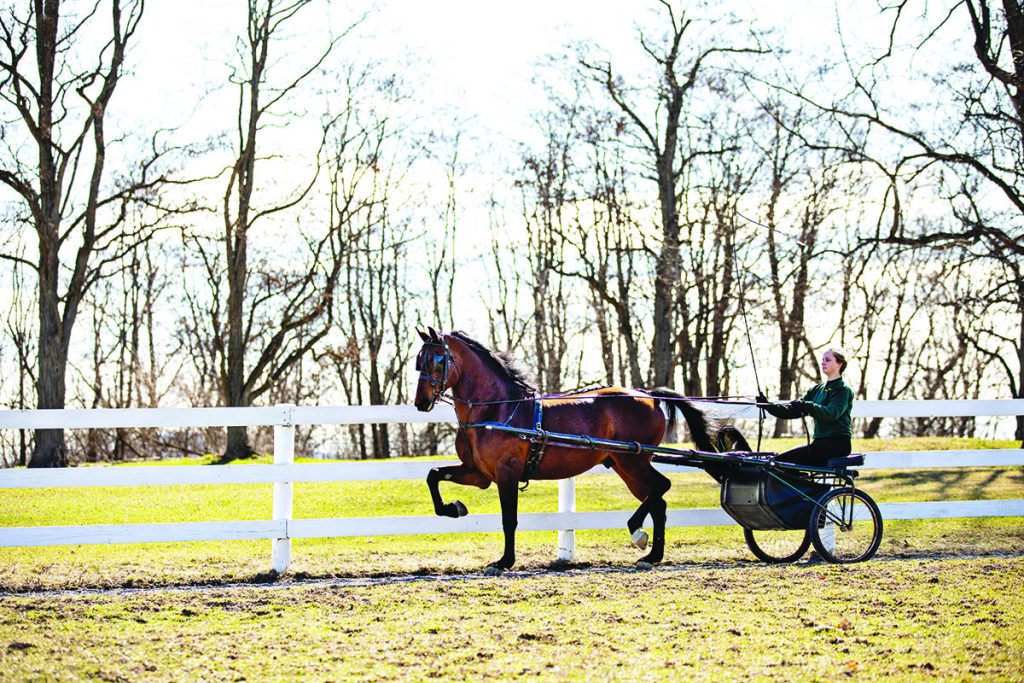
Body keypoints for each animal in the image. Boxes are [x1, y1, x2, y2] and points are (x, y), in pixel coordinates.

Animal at [411, 327, 716, 573]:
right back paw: (652, 555)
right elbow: (433, 474)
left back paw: (637, 532)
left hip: (634, 462)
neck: (498, 408)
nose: (420, 403)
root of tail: (648, 395)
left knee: (661, 488)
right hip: (625, 467)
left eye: (437, 360)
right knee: (658, 502)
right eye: (418, 361)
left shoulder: (507, 474)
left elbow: (509, 519)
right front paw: (453, 508)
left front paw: (504, 561)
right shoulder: (479, 474)